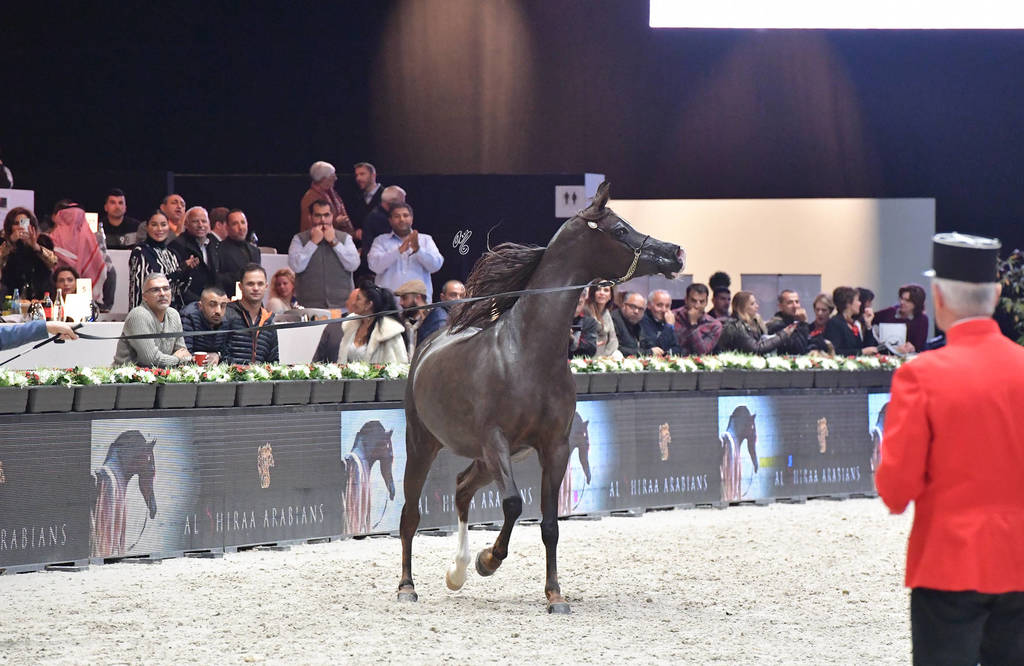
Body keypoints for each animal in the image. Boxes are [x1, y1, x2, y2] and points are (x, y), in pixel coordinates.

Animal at [397, 181, 684, 613]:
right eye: (620, 230)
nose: (675, 253)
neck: (525, 355)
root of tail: (429, 344)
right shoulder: (496, 441)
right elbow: (515, 504)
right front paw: (488, 560)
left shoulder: (554, 446)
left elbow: (550, 525)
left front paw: (555, 595)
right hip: (424, 444)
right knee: (410, 515)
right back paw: (408, 587)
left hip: (489, 459)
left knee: (462, 488)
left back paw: (457, 572)